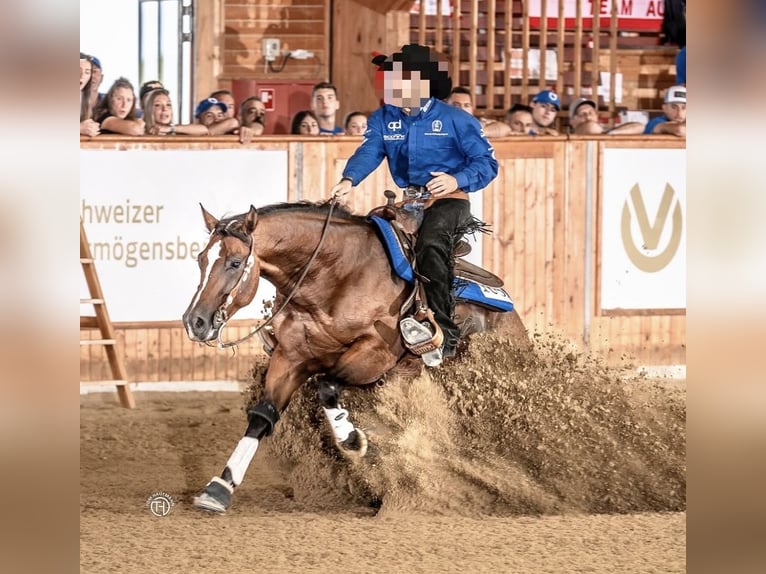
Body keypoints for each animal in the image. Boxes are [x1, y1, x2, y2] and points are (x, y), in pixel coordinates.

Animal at [182, 199, 528, 513]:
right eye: (200, 259)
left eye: (234, 262)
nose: (194, 322)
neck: (333, 277)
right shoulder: (291, 357)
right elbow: (262, 416)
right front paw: (219, 487)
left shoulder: (375, 354)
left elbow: (326, 386)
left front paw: (353, 440)